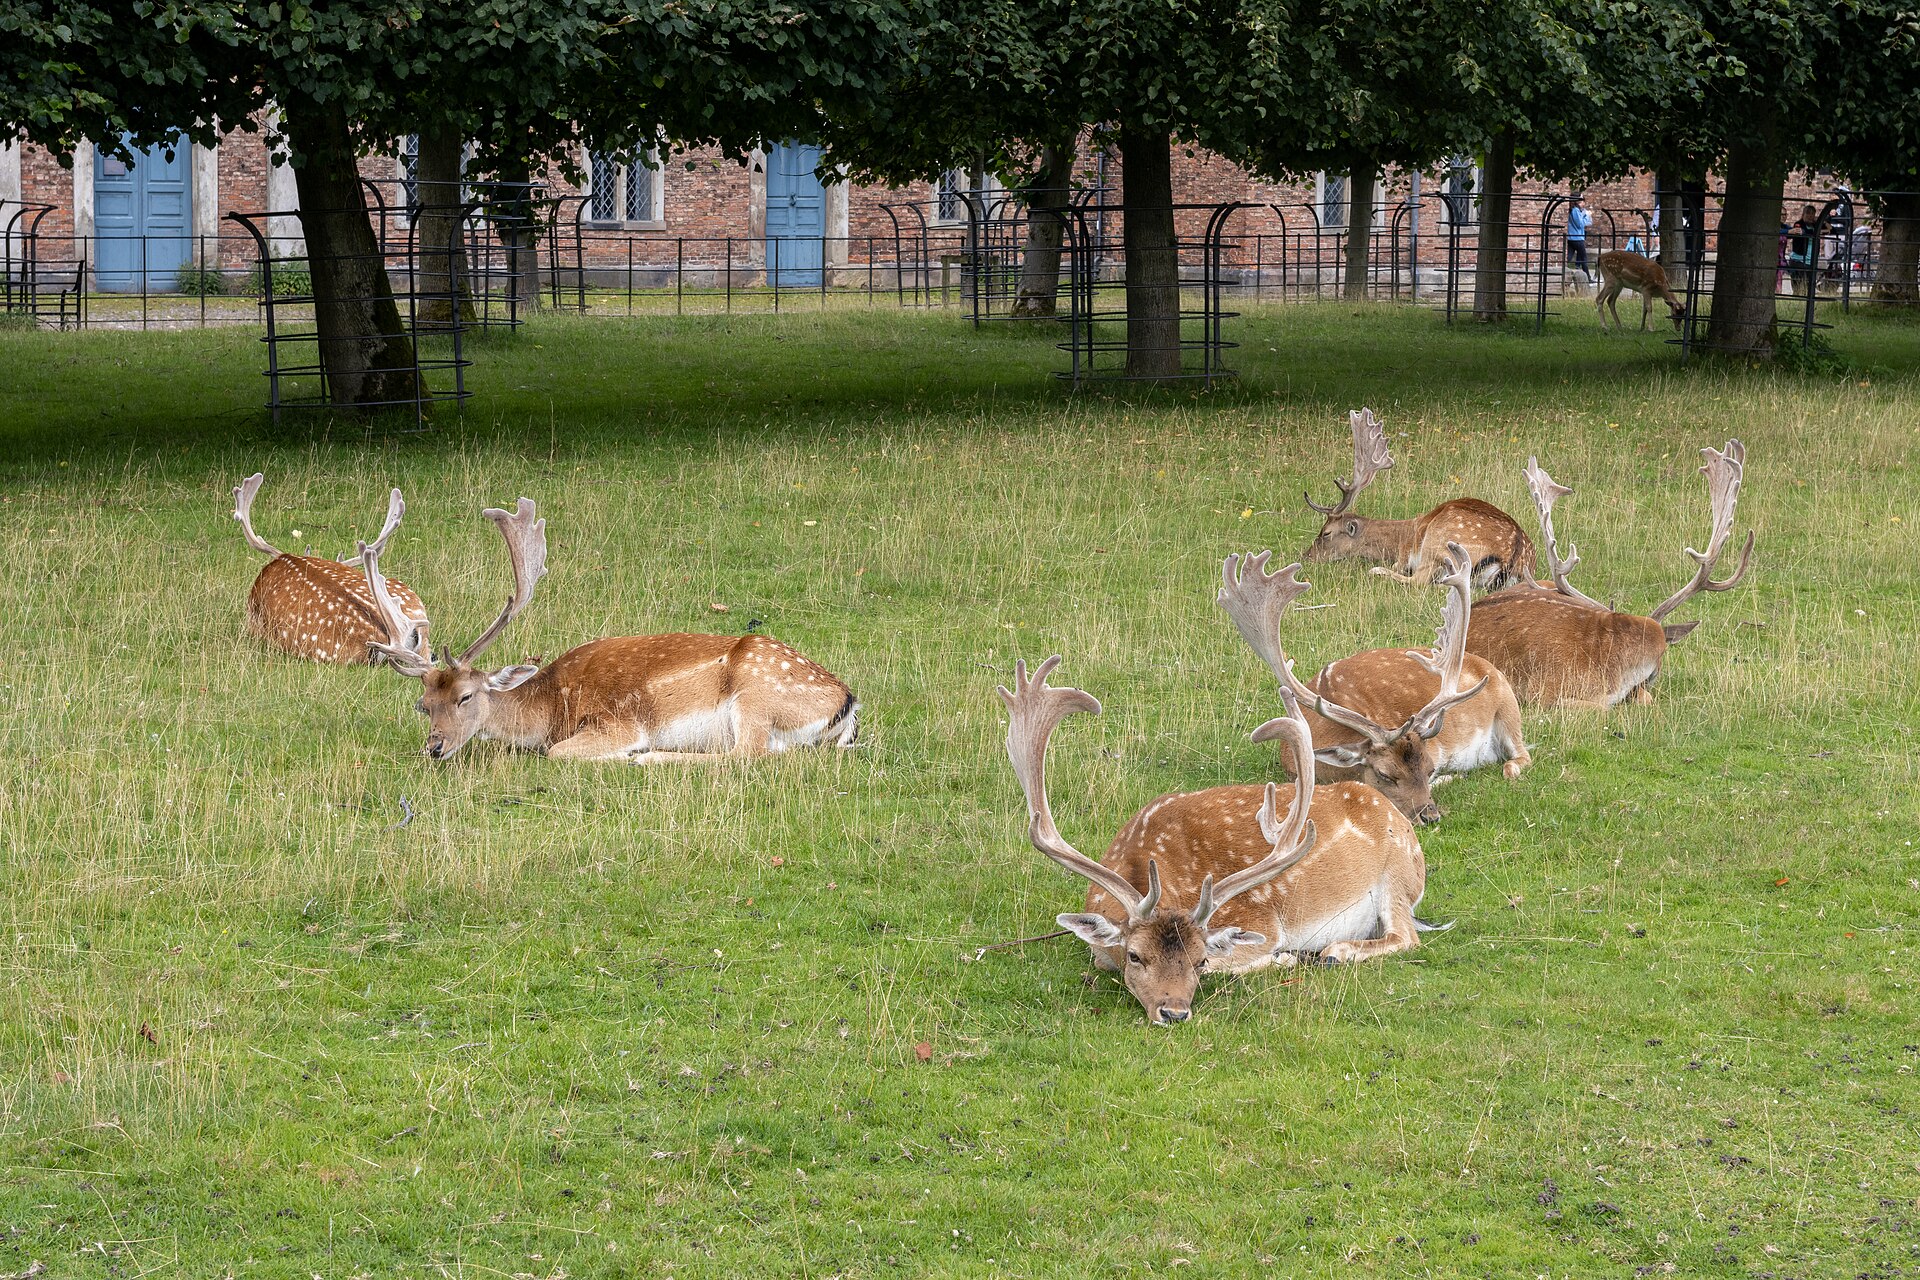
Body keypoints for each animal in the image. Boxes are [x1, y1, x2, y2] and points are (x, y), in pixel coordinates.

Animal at [360, 498, 858, 761]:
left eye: (465, 697)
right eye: (425, 704)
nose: (434, 747)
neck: (551, 709)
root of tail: (848, 704)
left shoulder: (617, 722)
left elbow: (558, 752)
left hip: (755, 696)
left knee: (749, 757)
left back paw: (645, 758)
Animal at [999, 655, 1434, 1027]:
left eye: (1200, 961)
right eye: (1135, 956)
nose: (1173, 1012)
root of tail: (1396, 813)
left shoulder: (1261, 922)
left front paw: (1285, 959)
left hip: (1398, 876)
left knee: (1406, 936)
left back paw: (1334, 952)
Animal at [1219, 546, 1528, 826]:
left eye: (1429, 769)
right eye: (1385, 774)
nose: (1430, 816)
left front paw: (1451, 777)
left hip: (1509, 709)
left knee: (1520, 757)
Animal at [1304, 407, 1537, 590]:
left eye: (1326, 533)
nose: (1306, 556)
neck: (1402, 536)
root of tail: (1513, 556)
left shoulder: (1405, 556)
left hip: (1440, 546)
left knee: (1420, 581)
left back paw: (1377, 570)